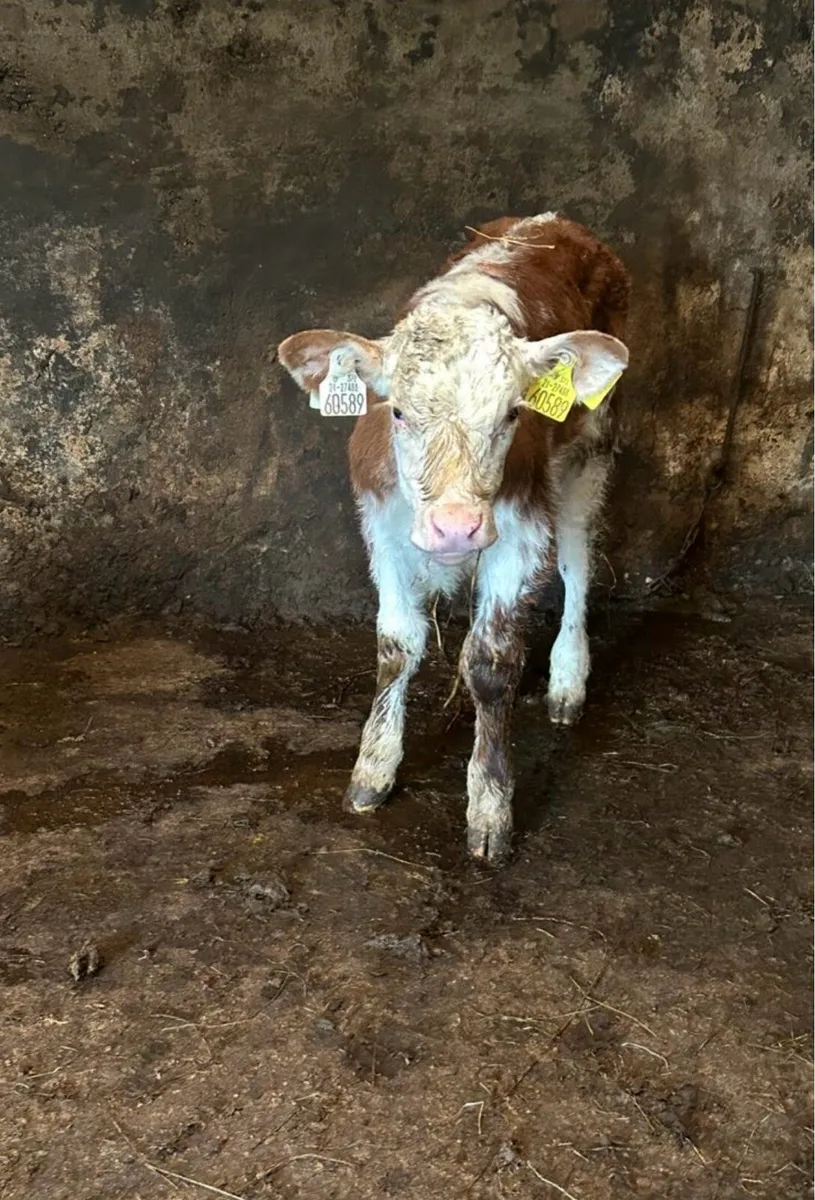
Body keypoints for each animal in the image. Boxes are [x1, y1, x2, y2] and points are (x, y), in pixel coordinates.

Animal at [277, 213, 630, 862]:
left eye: (512, 414)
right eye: (396, 412)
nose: (455, 526)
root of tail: (553, 221)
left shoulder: (519, 532)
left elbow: (490, 662)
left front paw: (489, 806)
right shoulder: (382, 525)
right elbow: (396, 646)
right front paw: (373, 769)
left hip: (590, 448)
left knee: (576, 559)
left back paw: (568, 679)